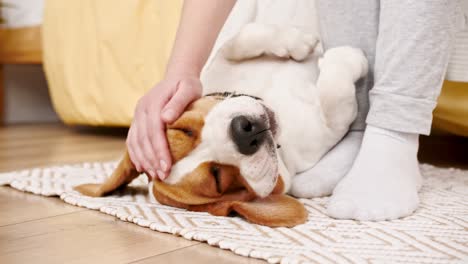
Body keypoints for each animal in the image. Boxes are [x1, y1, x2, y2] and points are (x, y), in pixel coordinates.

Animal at [76, 23, 370, 228]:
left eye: (184, 130)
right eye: (218, 178)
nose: (244, 132)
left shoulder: (215, 66)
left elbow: (237, 38)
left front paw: (297, 42)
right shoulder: (328, 127)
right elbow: (336, 97)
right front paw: (349, 57)